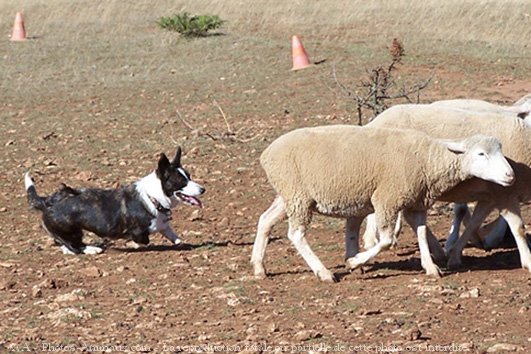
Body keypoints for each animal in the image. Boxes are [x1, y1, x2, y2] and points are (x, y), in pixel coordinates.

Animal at [25, 147, 205, 254]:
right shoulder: (139, 232)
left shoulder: (165, 226)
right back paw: (93, 249)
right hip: (72, 230)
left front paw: (181, 243)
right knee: (75, 246)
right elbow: (146, 235)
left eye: (189, 177)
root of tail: (48, 201)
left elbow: (173, 235)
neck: (153, 196)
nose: (203, 189)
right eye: (181, 181)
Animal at [251, 126, 512, 280]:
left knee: (265, 220)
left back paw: (259, 267)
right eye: (481, 154)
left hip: (289, 195)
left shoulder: (417, 202)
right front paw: (354, 261)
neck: (427, 159)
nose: (510, 175)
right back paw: (323, 272)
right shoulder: (387, 200)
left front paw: (430, 267)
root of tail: (266, 154)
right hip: (298, 196)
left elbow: (421, 233)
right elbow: (385, 241)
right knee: (296, 234)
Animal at [366, 105, 531, 272]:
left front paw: (456, 254)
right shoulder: (505, 194)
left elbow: (474, 223)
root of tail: (376, 121)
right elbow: (519, 228)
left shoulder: (490, 197)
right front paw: (528, 261)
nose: (510, 175)